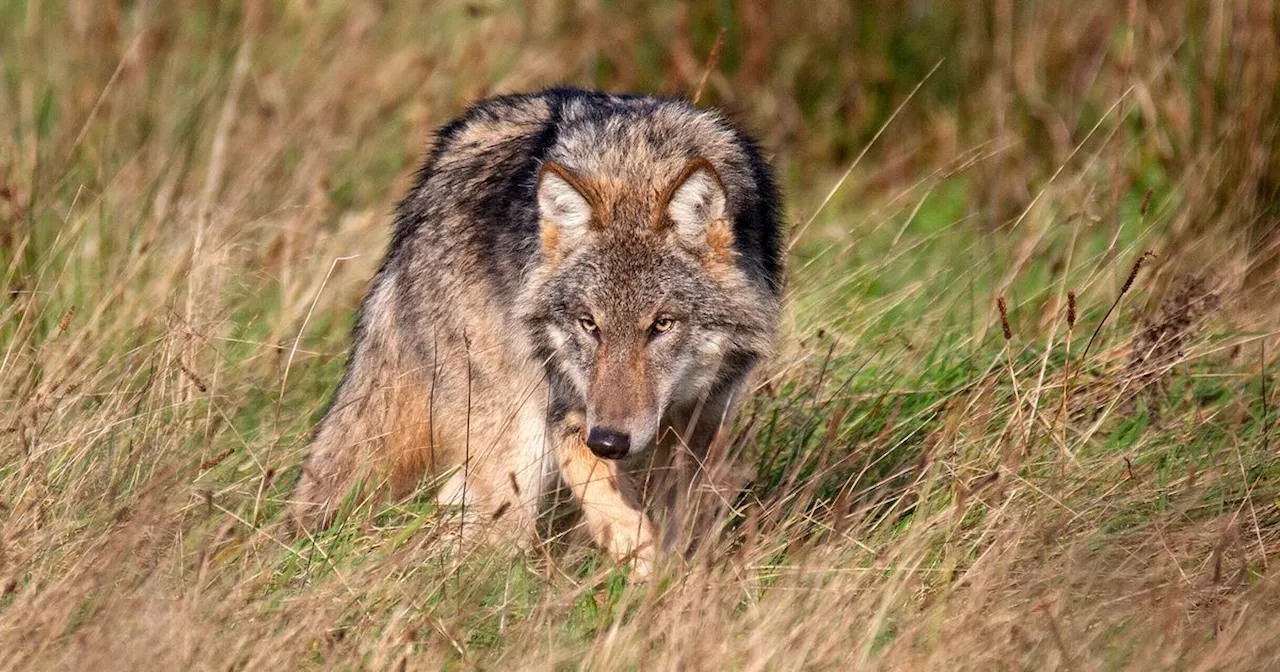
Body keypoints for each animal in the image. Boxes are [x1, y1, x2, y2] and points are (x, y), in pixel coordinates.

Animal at [291, 86, 783, 573]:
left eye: (661, 325)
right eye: (589, 324)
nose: (609, 442)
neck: (634, 164)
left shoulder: (701, 423)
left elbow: (678, 511)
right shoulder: (568, 411)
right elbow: (617, 510)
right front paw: (642, 562)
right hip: (518, 448)